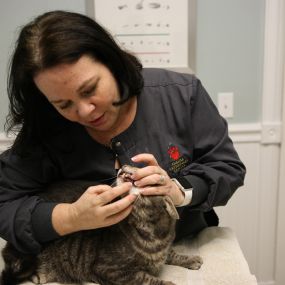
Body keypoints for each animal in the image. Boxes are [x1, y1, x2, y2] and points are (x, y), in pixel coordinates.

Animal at [1, 164, 202, 284]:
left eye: (140, 166)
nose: (122, 165)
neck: (152, 231)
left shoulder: (163, 249)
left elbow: (172, 254)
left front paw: (190, 259)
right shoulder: (114, 271)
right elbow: (147, 278)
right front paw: (168, 282)